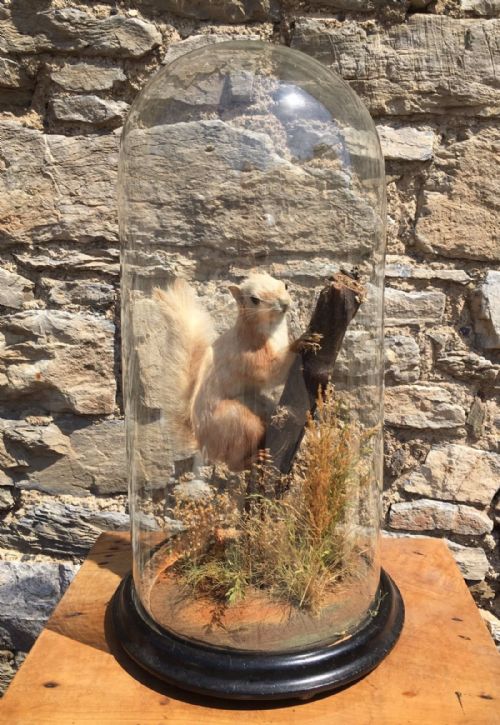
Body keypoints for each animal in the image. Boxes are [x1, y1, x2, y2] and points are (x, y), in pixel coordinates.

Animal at [153, 271, 307, 472]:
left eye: (285, 285)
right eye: (254, 300)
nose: (284, 303)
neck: (273, 329)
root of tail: (203, 443)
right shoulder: (247, 356)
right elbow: (272, 372)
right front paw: (301, 342)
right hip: (238, 423)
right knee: (233, 463)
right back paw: (254, 459)